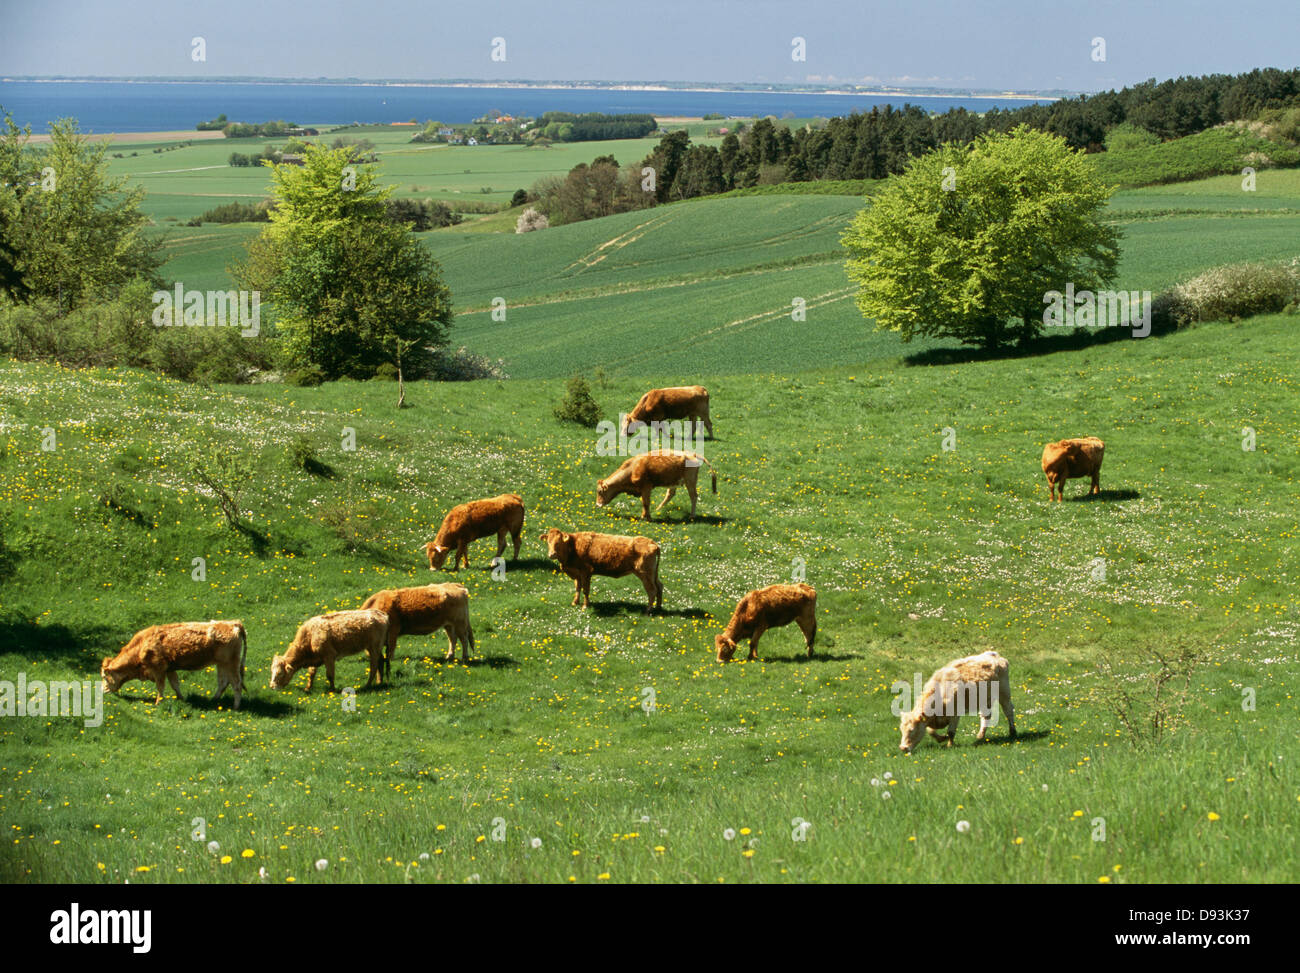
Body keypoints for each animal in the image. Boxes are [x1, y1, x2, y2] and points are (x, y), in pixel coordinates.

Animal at [101, 620, 247, 708]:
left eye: (104, 677)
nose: (101, 690)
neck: (141, 646)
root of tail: (234, 623)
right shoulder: (169, 669)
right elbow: (175, 684)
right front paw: (181, 699)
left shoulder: (159, 670)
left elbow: (160, 687)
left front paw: (158, 703)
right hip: (221, 664)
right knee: (223, 682)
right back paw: (213, 700)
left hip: (231, 663)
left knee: (236, 684)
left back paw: (235, 707)